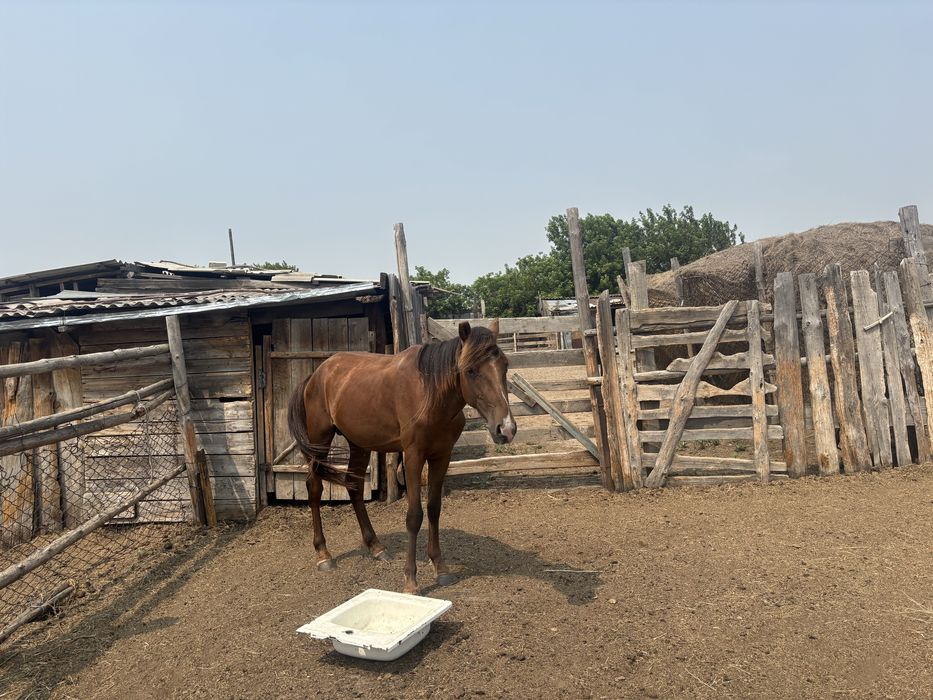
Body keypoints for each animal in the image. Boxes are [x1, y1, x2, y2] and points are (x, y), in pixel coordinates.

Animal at [287, 319, 516, 593]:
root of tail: (316, 375)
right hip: (319, 440)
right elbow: (414, 516)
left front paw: (441, 568)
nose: (506, 429)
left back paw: (376, 547)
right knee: (314, 488)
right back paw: (323, 554)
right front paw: (411, 580)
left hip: (359, 444)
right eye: (470, 370)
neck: (430, 395)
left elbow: (434, 509)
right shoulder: (413, 457)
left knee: (354, 488)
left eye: (505, 365)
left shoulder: (442, 456)